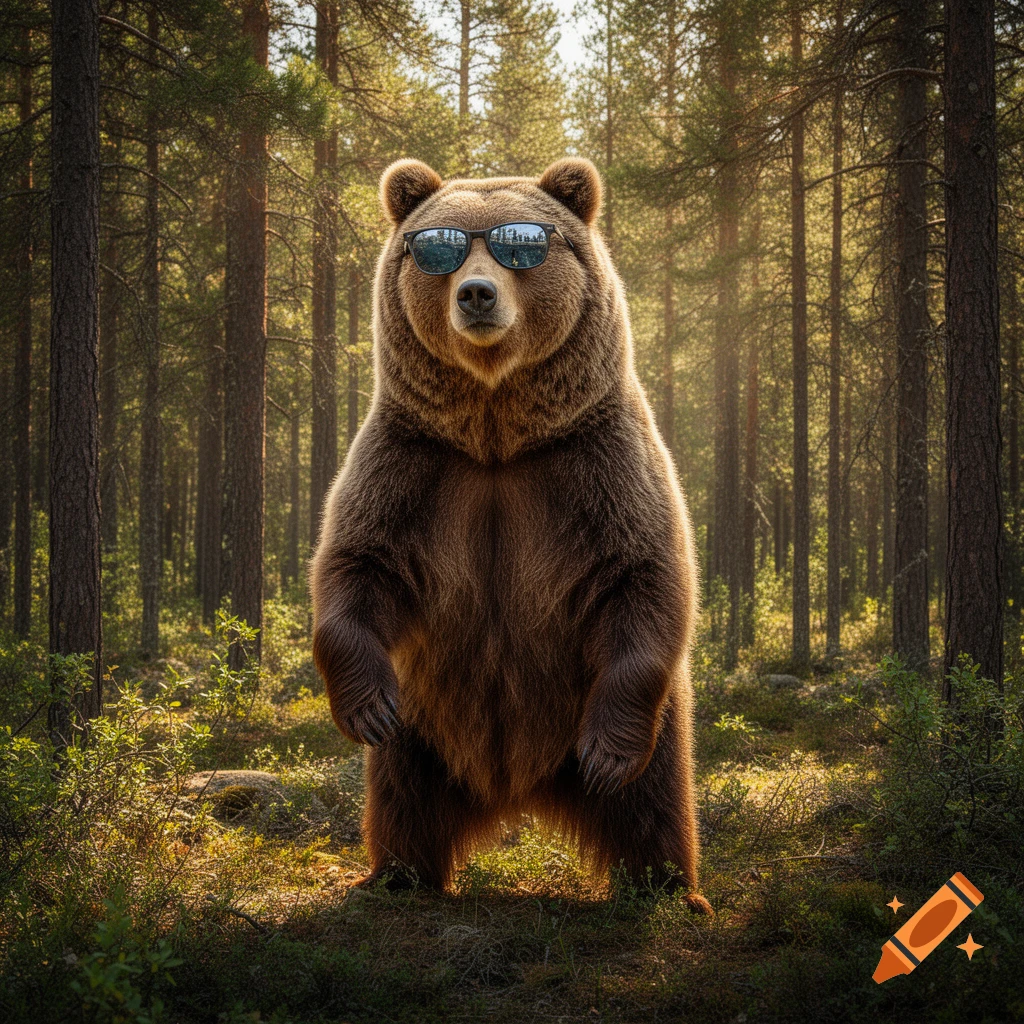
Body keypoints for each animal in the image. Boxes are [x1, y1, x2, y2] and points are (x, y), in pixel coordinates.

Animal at [310, 156, 710, 913]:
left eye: (520, 245)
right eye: (436, 248)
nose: (475, 294)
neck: (496, 434)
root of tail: (517, 787)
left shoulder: (597, 460)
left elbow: (645, 572)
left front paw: (608, 755)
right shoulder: (414, 463)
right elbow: (358, 564)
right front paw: (365, 707)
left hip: (649, 728)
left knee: (652, 802)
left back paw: (670, 887)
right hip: (424, 729)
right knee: (402, 796)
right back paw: (394, 875)